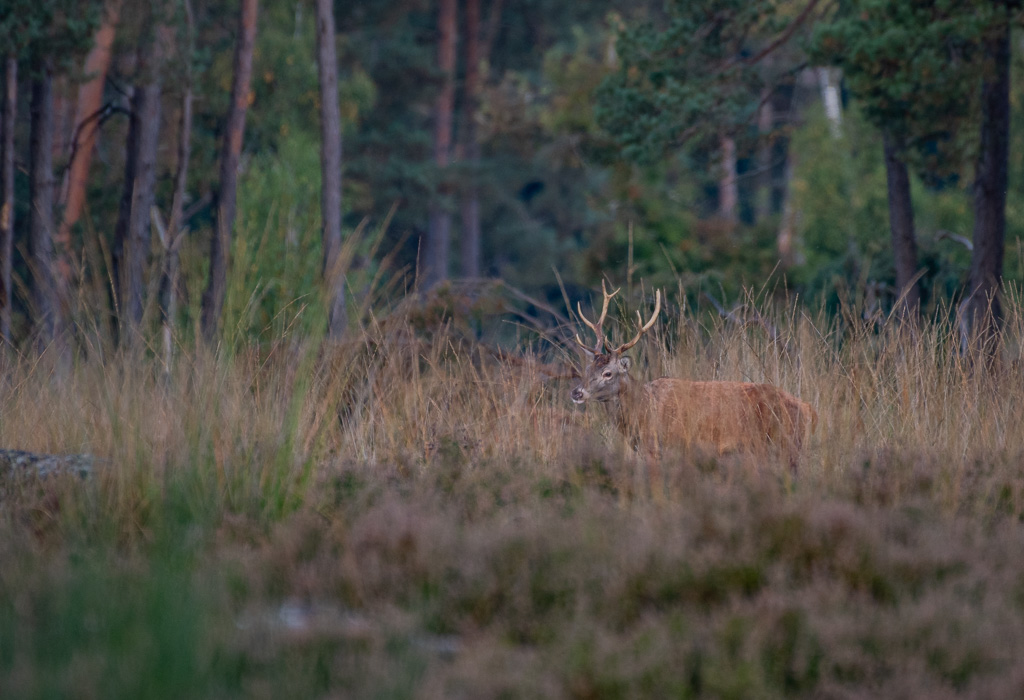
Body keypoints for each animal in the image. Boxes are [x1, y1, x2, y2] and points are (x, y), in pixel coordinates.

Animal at [569, 283, 817, 486]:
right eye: (587, 370)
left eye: (608, 373)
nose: (576, 393)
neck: (643, 411)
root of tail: (808, 409)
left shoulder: (664, 446)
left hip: (781, 445)